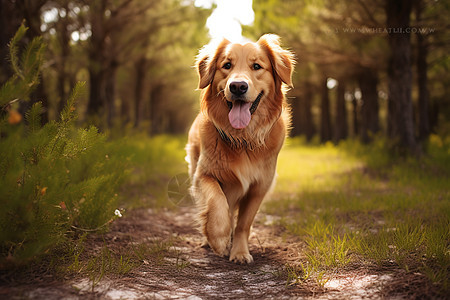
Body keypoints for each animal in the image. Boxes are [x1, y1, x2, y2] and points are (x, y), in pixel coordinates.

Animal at [185, 34, 294, 262]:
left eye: (256, 66)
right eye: (227, 65)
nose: (237, 86)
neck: (242, 138)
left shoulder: (260, 186)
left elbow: (244, 223)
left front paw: (240, 252)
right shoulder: (203, 175)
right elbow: (216, 200)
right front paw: (218, 238)